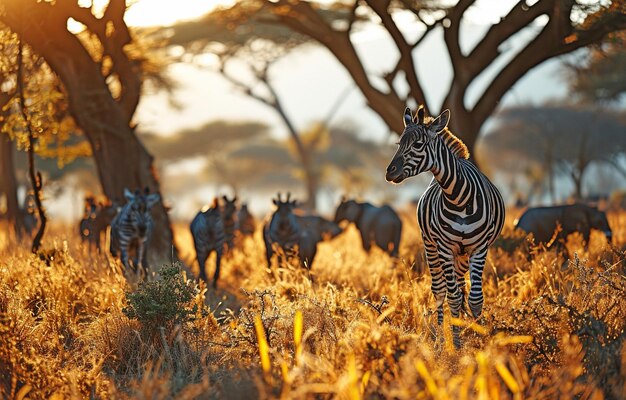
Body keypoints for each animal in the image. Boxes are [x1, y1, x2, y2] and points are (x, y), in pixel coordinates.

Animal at [382, 106, 504, 346]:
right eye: (398, 144)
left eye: (418, 145)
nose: (390, 172)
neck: (459, 197)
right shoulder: (444, 247)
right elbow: (453, 297)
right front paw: (456, 345)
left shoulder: (480, 248)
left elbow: (475, 298)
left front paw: (481, 342)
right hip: (431, 246)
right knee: (440, 290)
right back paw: (439, 338)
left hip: (463, 253)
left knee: (459, 284)